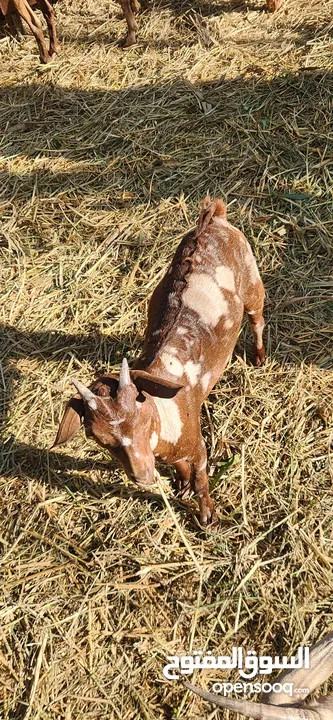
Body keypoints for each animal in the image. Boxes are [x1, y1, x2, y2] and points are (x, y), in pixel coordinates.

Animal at [52, 194, 264, 524]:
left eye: (143, 415)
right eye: (96, 436)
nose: (141, 476)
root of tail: (214, 218)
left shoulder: (198, 445)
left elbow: (202, 478)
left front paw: (208, 518)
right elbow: (181, 469)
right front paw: (182, 486)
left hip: (251, 278)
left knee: (257, 317)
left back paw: (259, 357)